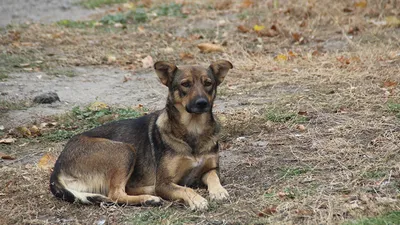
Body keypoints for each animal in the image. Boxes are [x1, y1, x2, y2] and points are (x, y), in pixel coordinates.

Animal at [49, 59, 234, 211]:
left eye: (208, 83)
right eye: (185, 84)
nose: (202, 103)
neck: (193, 129)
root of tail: (56, 169)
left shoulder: (210, 169)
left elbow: (213, 178)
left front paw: (219, 191)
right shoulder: (164, 182)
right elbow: (185, 188)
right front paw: (197, 199)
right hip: (124, 150)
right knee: (115, 194)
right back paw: (150, 198)